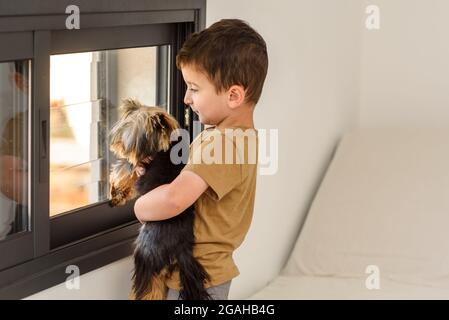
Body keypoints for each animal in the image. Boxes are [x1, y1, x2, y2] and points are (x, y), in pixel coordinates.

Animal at [110, 100, 212, 300]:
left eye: (130, 135)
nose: (117, 145)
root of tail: (181, 246)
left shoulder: (139, 163)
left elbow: (122, 171)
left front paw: (115, 193)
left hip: (146, 252)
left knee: (148, 285)